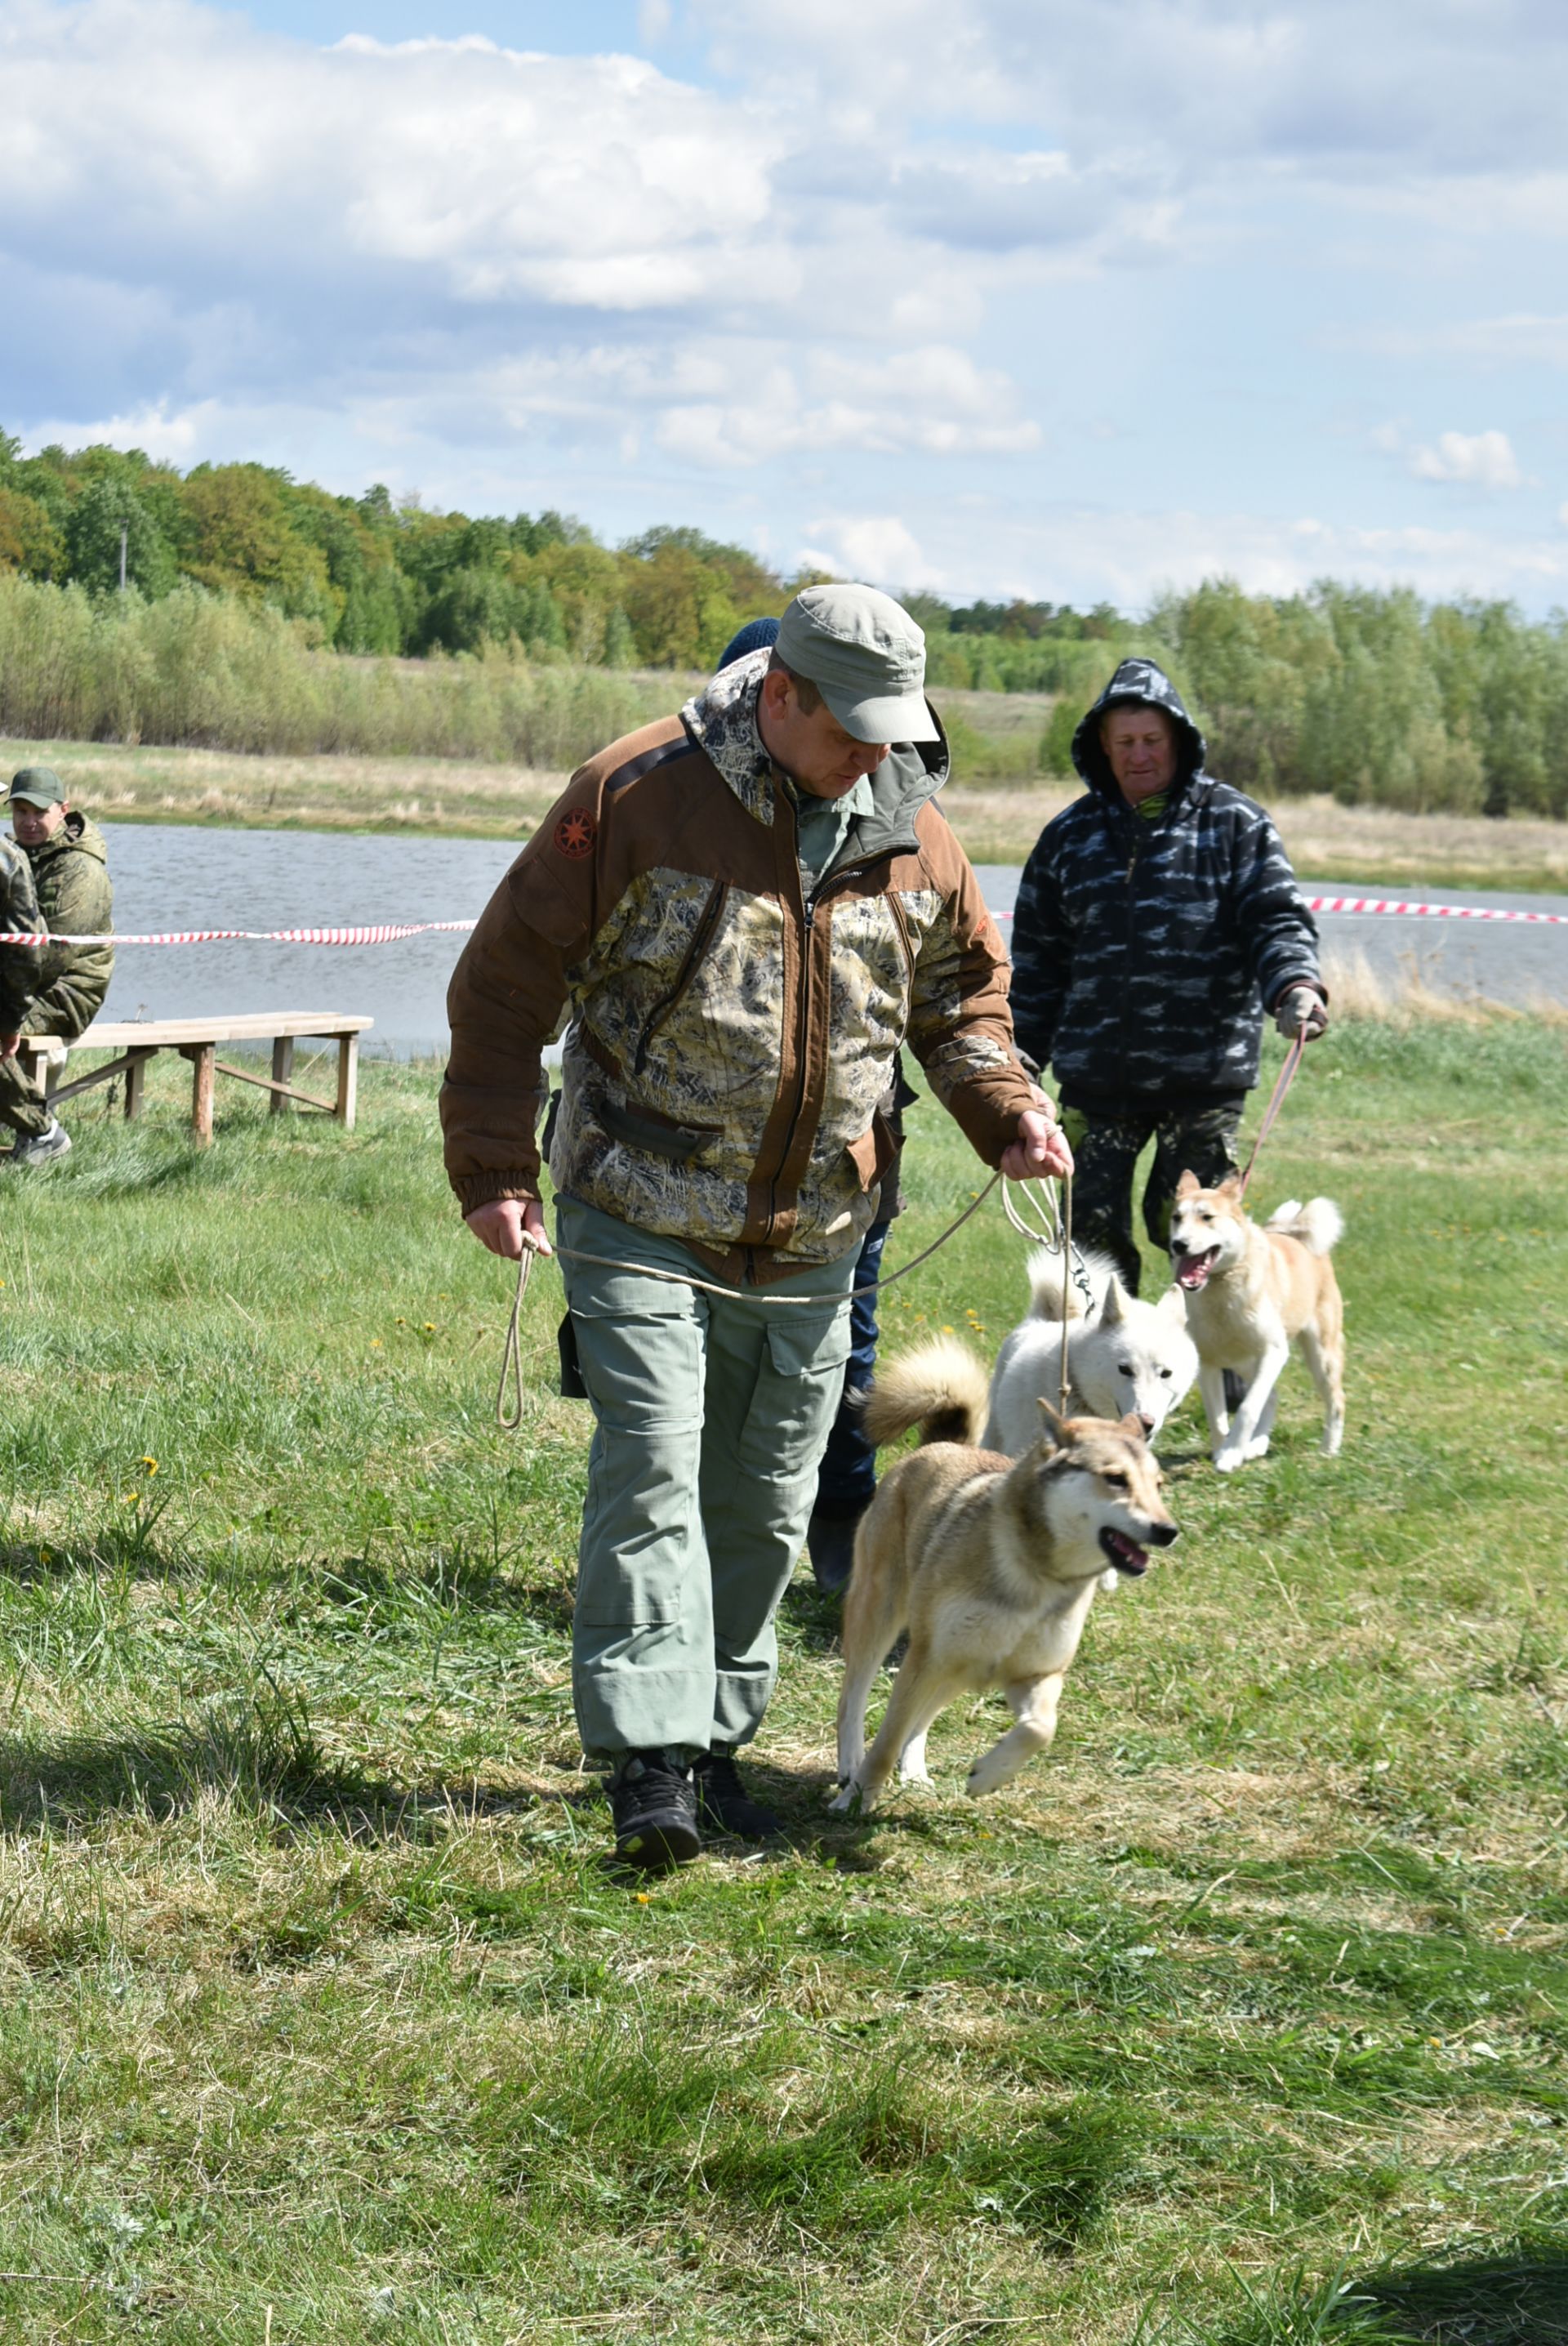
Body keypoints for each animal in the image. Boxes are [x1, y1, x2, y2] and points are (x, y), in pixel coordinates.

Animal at [829, 1341, 1171, 1811]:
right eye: (1115, 1478)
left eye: (1159, 1485)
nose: (1168, 1530)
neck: (1039, 1578)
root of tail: (943, 1446)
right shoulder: (926, 1658)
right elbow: (885, 1740)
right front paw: (857, 1799)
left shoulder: (1035, 1675)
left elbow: (1040, 1729)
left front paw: (990, 1775)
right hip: (882, 1619)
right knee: (854, 1699)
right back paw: (850, 1766)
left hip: (963, 1668)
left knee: (922, 1720)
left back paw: (915, 1772)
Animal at [1167, 1168, 1340, 1473]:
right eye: (1177, 1217)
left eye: (1207, 1217)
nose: (1179, 1244)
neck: (1221, 1287)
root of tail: (1295, 1235)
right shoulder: (1208, 1363)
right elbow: (1216, 1416)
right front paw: (1224, 1451)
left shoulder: (1274, 1351)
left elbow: (1249, 1407)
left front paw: (1231, 1455)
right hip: (1244, 1363)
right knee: (1273, 1397)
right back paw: (1256, 1446)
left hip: (1320, 1356)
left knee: (1336, 1401)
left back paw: (1328, 1449)